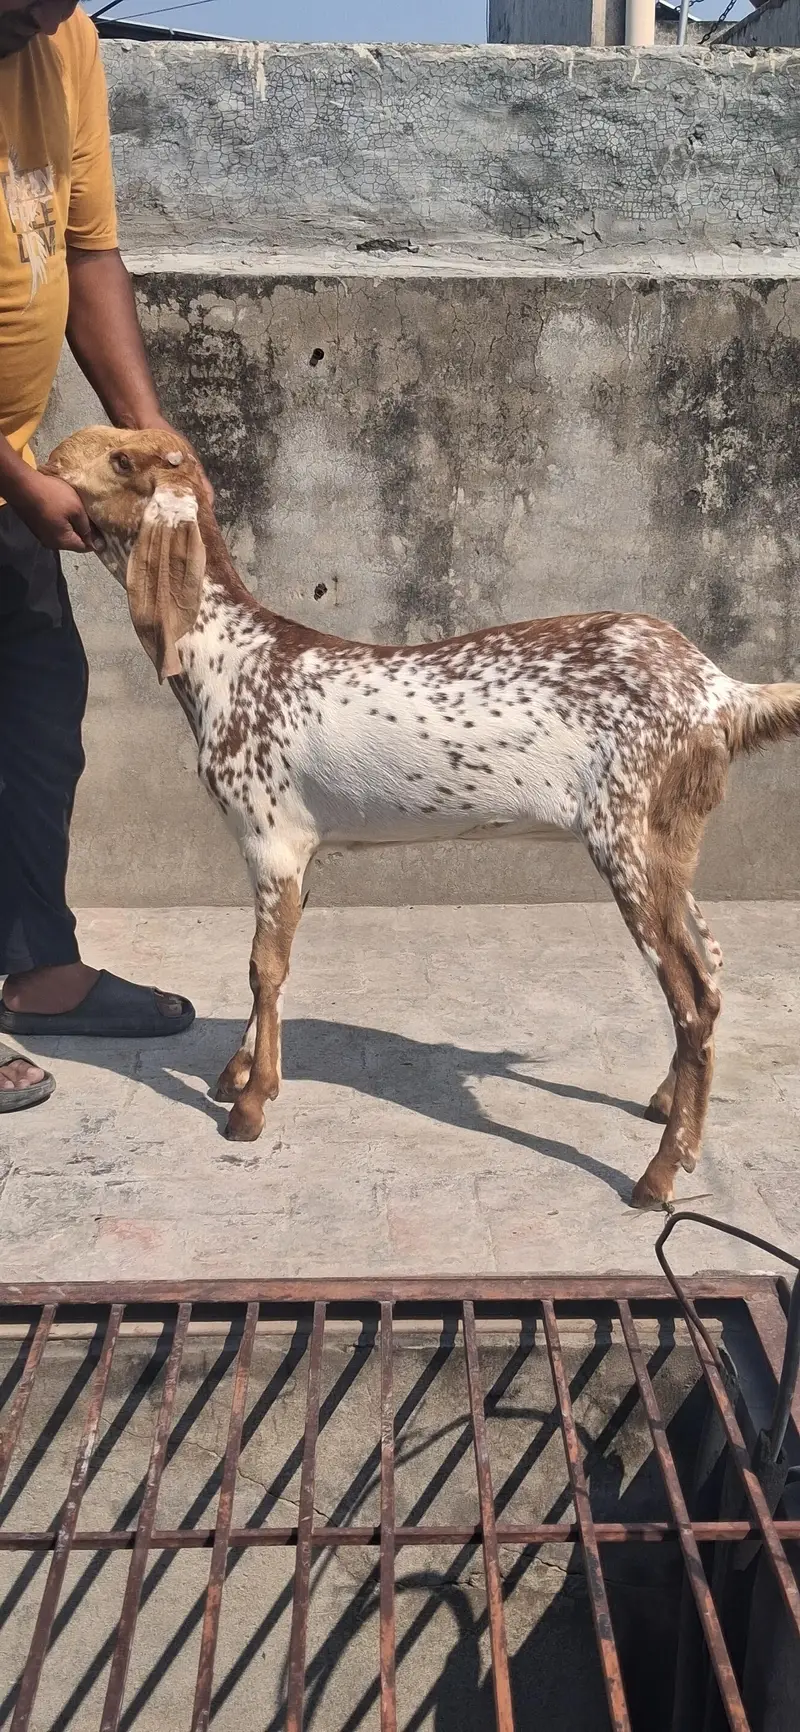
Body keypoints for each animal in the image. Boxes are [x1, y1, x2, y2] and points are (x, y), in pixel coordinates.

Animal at [45, 425, 800, 1207]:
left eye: (122, 460)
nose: (52, 455)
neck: (232, 661)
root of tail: (720, 692)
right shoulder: (303, 854)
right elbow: (272, 962)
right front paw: (239, 1075)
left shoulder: (269, 839)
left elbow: (263, 969)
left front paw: (249, 1107)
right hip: (671, 844)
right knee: (711, 973)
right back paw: (664, 1104)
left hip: (628, 840)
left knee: (692, 998)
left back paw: (659, 1172)